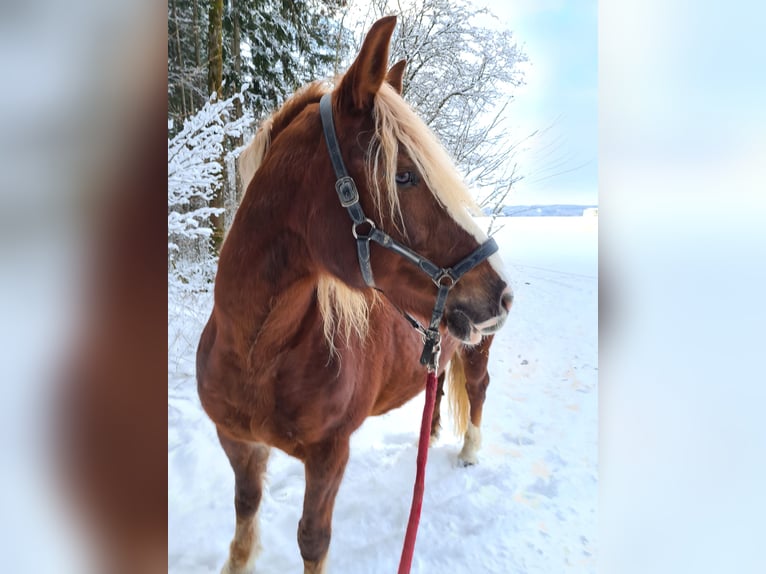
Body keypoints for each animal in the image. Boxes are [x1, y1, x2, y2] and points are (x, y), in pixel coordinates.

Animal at [195, 16, 512, 574]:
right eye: (403, 176)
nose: (500, 294)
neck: (258, 351)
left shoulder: (329, 455)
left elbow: (312, 538)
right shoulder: (236, 442)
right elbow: (245, 512)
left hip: (477, 350)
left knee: (477, 388)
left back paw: (469, 450)